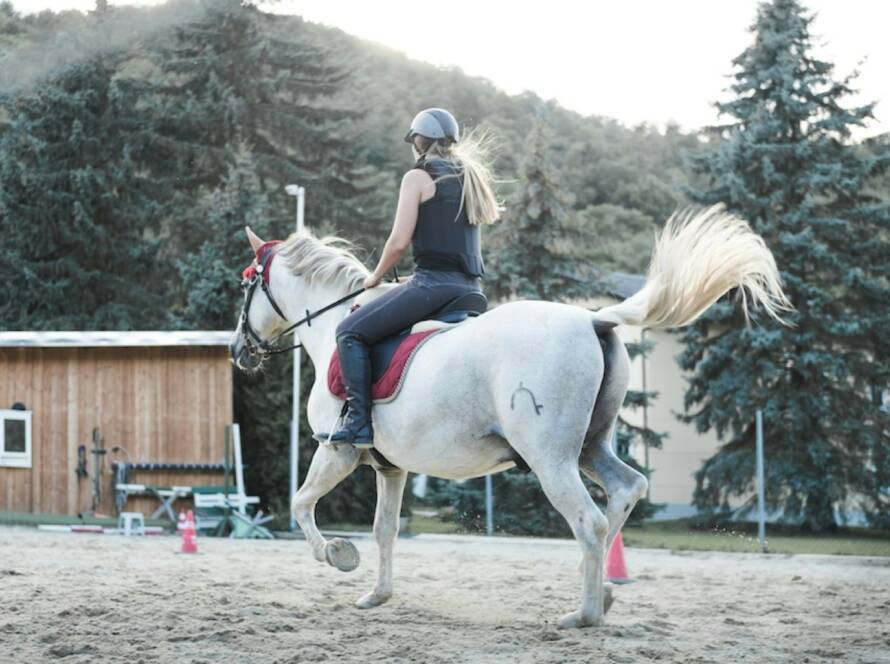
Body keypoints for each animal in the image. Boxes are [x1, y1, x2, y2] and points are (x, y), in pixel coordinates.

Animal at [231, 204, 792, 628]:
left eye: (246, 286)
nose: (240, 350)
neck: (332, 329)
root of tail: (593, 318)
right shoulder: (391, 469)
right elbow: (384, 530)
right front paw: (377, 595)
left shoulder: (338, 450)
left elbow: (301, 504)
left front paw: (336, 555)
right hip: (590, 448)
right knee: (625, 491)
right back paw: (602, 591)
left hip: (552, 460)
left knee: (589, 519)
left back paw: (584, 615)